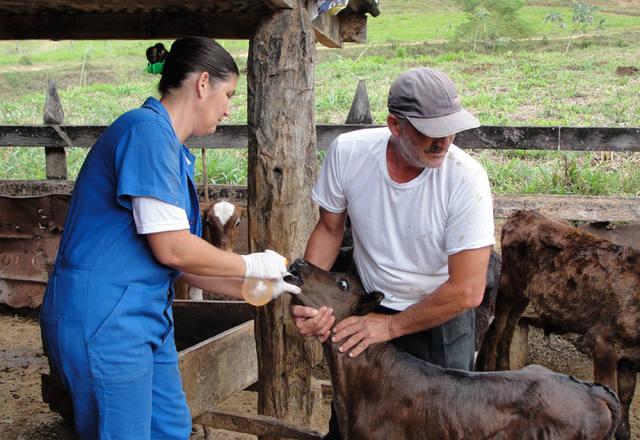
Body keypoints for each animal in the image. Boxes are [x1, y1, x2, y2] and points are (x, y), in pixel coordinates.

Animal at [478, 210, 636, 440]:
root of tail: (522, 214)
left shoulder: (630, 357)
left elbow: (625, 400)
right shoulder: (602, 342)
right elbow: (611, 390)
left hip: (523, 295)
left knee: (509, 330)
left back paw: (505, 368)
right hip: (508, 288)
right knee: (495, 330)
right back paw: (489, 370)